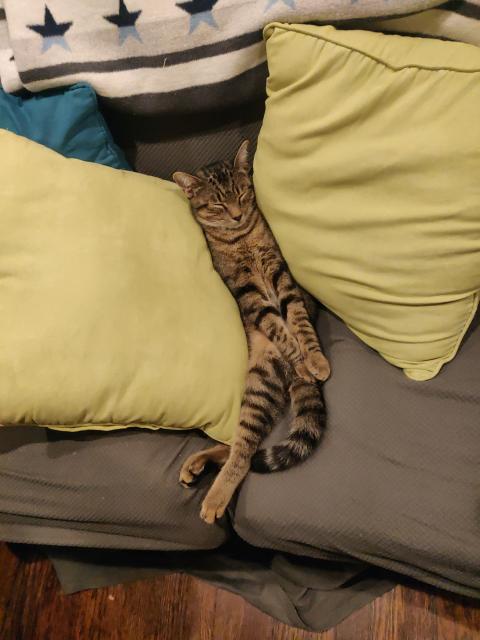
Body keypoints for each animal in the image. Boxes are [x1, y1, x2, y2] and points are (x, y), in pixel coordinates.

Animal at [172, 141, 330, 524]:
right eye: (217, 204)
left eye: (243, 194)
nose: (236, 215)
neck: (241, 239)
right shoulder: (249, 296)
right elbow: (281, 329)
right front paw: (304, 361)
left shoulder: (282, 277)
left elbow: (298, 322)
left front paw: (315, 360)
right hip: (260, 379)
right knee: (241, 449)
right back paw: (210, 490)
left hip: (262, 382)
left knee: (243, 445)